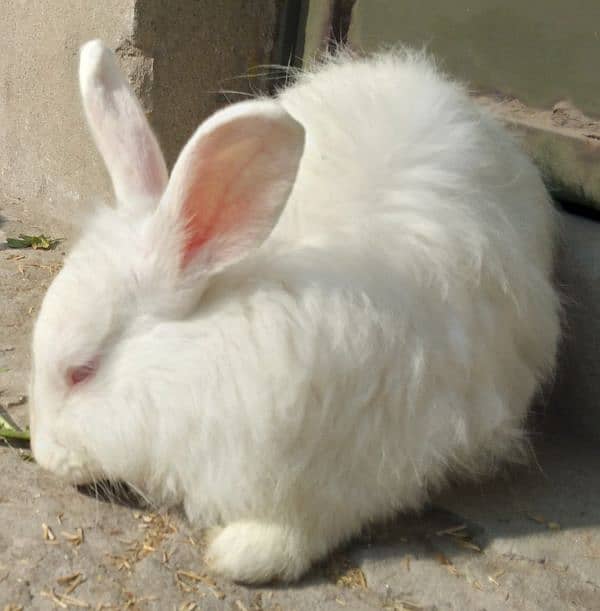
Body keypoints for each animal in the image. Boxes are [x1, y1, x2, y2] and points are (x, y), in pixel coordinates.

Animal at [29, 40, 564, 584]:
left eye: (81, 371)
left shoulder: (355, 470)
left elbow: (308, 527)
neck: (199, 359)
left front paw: (241, 553)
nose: (44, 455)